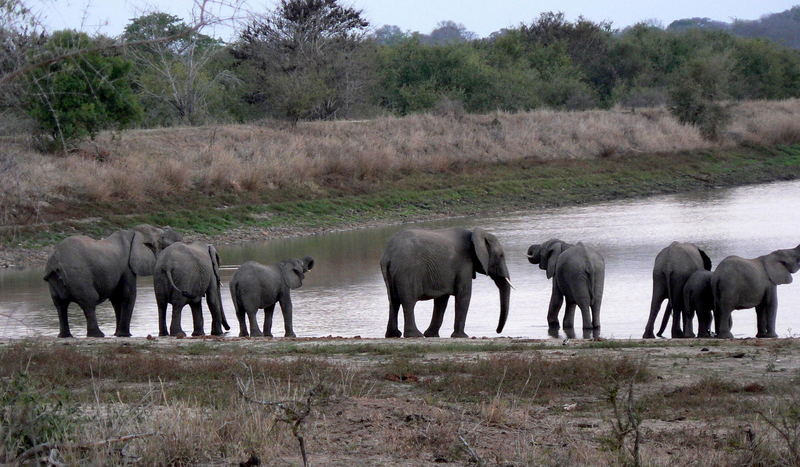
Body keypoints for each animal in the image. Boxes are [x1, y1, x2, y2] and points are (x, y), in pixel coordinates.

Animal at [44, 225, 182, 338]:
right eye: (164, 245)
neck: (134, 232)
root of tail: (54, 261)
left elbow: (117, 298)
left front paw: (117, 334)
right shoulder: (127, 267)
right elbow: (127, 295)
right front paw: (124, 335)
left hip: (53, 281)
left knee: (60, 305)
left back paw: (65, 336)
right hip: (78, 276)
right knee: (88, 301)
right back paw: (98, 335)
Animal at [378, 229, 510, 338]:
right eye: (501, 255)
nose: (497, 331)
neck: (474, 234)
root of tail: (388, 256)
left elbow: (441, 301)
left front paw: (431, 335)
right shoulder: (464, 264)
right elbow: (464, 295)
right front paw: (461, 336)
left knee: (393, 302)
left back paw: (393, 335)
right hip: (407, 272)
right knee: (408, 302)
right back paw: (415, 335)